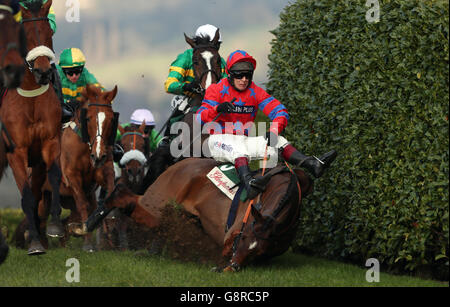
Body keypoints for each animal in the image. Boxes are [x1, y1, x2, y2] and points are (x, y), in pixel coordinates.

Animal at [0, 0, 64, 255]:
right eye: (25, 34)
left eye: (49, 32)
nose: (43, 71)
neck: (31, 99)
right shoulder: (16, 151)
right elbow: (26, 196)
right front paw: (35, 243)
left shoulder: (49, 142)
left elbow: (53, 178)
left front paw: (53, 227)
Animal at [88, 159, 312, 272]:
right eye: (243, 236)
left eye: (258, 250)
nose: (231, 268)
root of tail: (179, 163)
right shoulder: (230, 237)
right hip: (157, 205)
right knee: (124, 196)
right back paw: (92, 220)